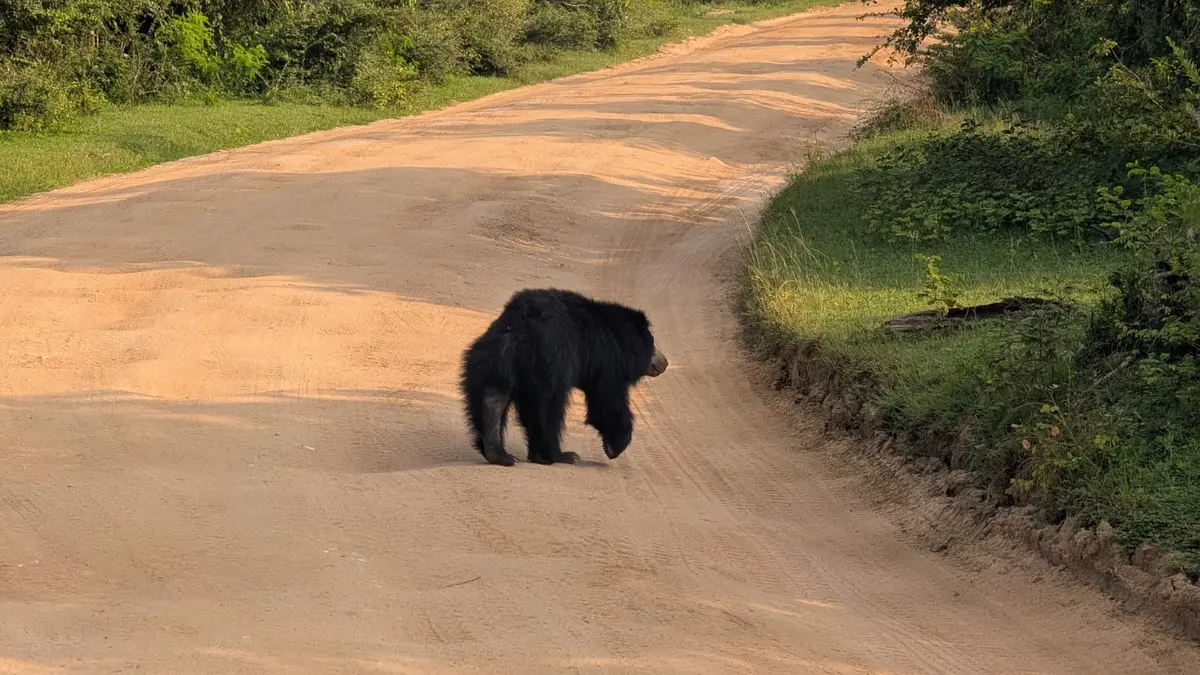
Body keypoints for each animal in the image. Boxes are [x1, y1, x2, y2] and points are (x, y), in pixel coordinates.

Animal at [460, 288, 668, 466]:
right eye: (652, 343)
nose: (664, 363)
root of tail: (518, 328)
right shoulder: (605, 361)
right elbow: (607, 401)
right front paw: (614, 446)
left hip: (491, 358)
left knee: (492, 396)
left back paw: (498, 453)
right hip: (549, 362)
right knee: (546, 408)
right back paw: (559, 455)